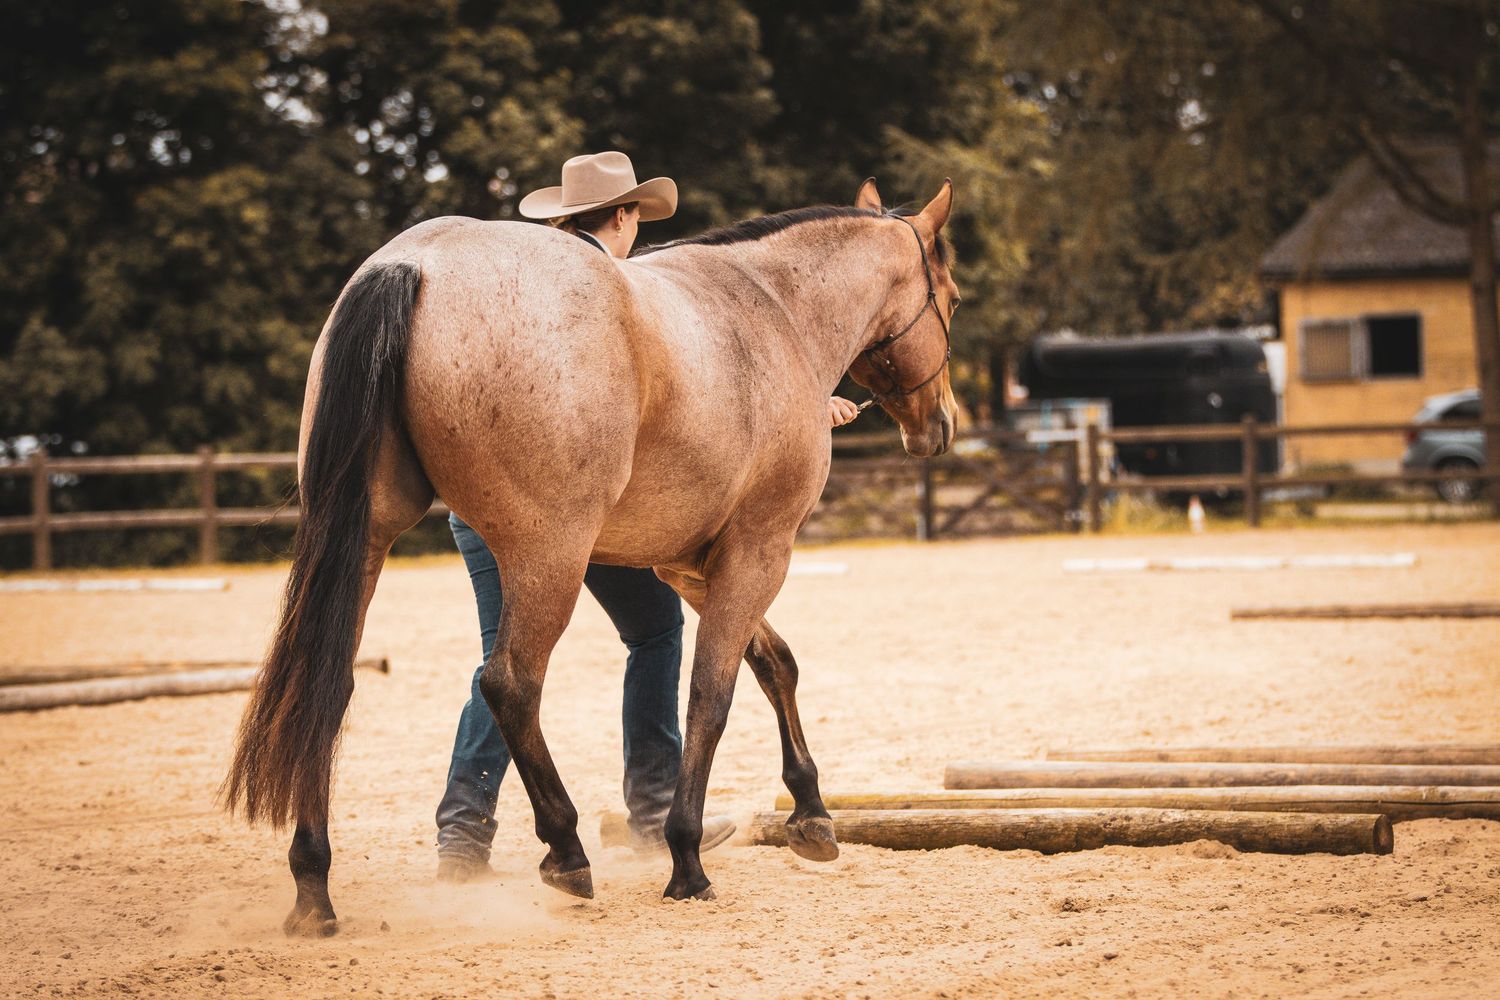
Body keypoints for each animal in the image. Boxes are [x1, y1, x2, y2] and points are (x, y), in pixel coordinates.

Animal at [224, 176, 959, 936]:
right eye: (954, 298)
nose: (942, 423)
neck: (773, 310)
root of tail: (416, 262)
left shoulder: (692, 565)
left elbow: (772, 662)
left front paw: (810, 815)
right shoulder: (760, 549)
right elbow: (711, 694)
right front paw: (686, 857)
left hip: (371, 543)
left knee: (330, 687)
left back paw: (315, 886)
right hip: (550, 559)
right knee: (509, 684)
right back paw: (568, 851)